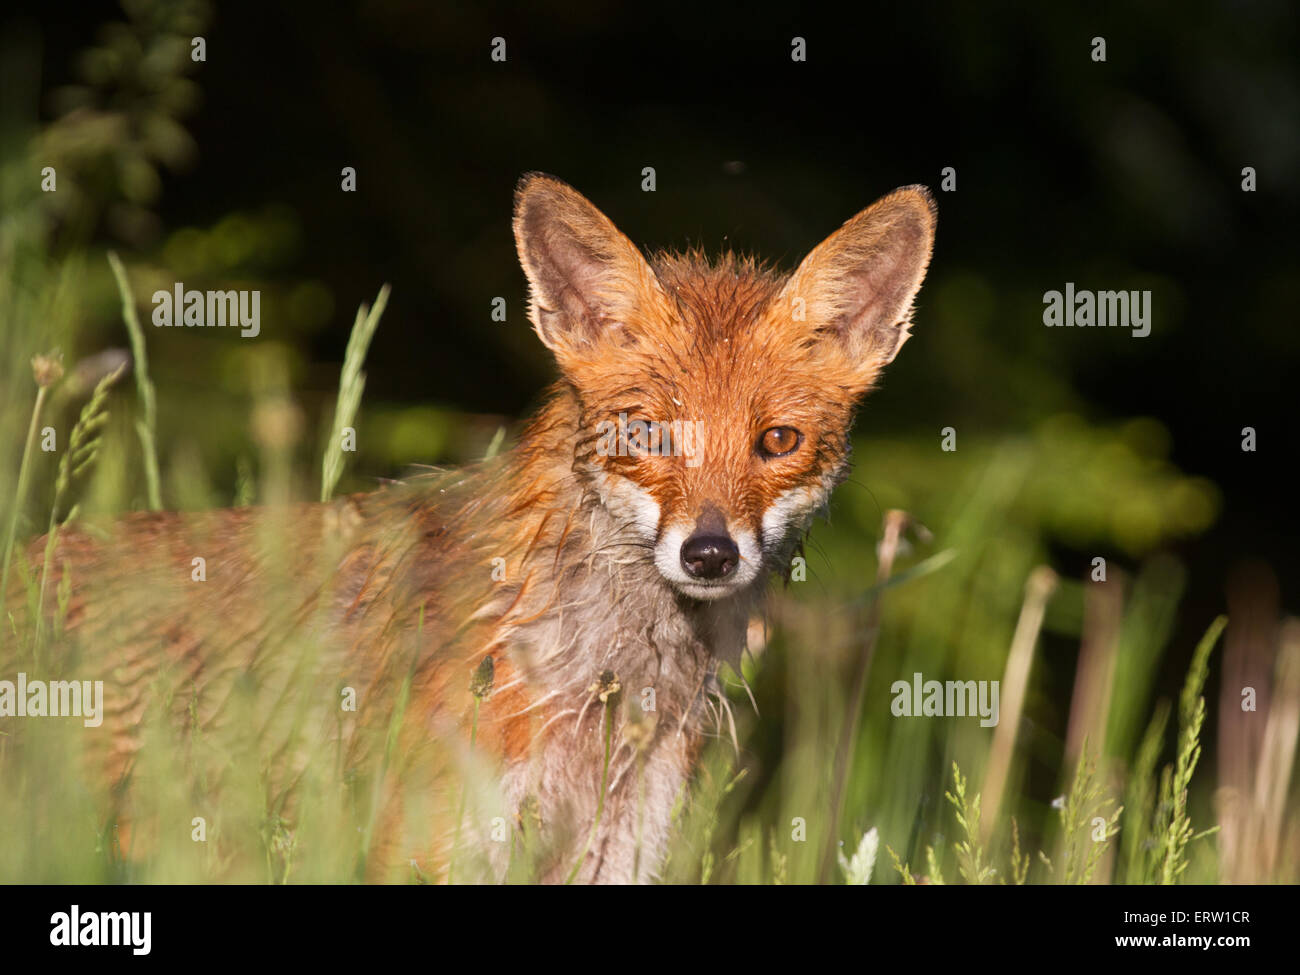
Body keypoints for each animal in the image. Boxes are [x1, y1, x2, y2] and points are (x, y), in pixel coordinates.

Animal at [2, 175, 935, 883]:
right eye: (646, 434)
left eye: (776, 441)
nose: (709, 553)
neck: (596, 687)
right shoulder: (434, 847)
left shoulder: (616, 850)